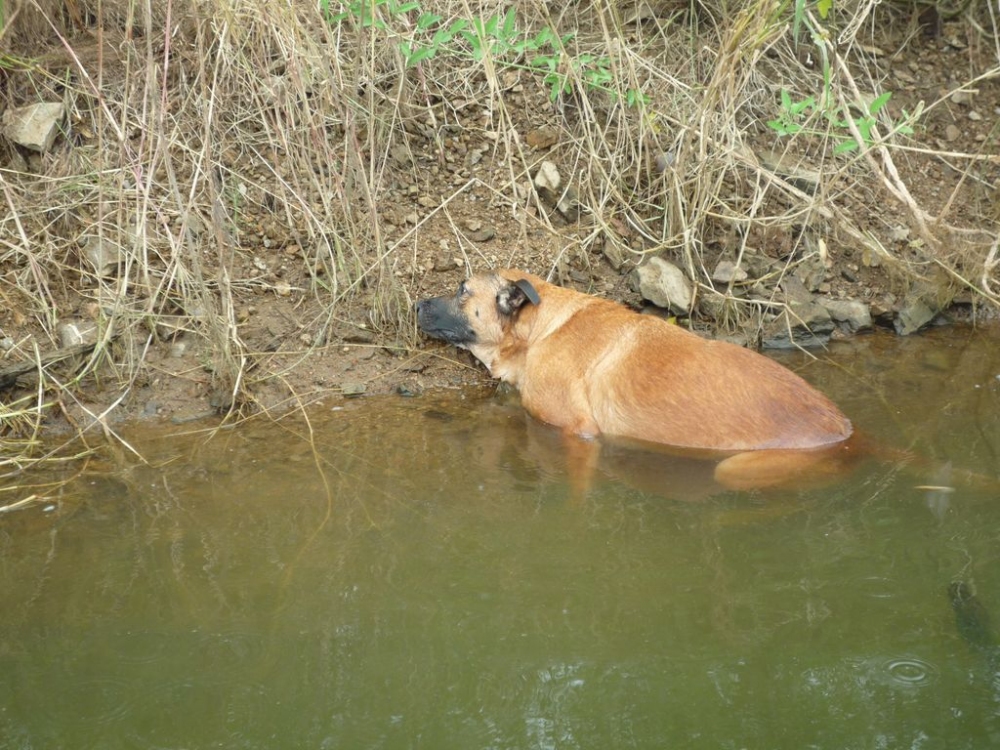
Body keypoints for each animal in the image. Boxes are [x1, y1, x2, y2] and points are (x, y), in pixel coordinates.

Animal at [414, 270, 852, 494]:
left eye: (462, 290)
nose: (416, 303)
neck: (541, 327)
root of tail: (848, 435)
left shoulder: (576, 432)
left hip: (734, 470)